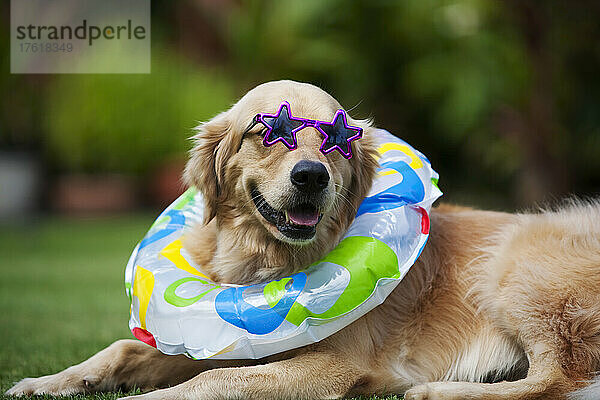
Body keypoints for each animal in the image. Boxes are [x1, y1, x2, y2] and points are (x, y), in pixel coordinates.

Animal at [7, 79, 600, 400]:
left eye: (337, 139)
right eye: (267, 132)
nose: (311, 175)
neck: (264, 264)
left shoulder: (331, 365)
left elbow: (211, 385)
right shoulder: (222, 344)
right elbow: (125, 349)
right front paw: (47, 381)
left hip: (515, 267)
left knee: (561, 379)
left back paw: (438, 389)